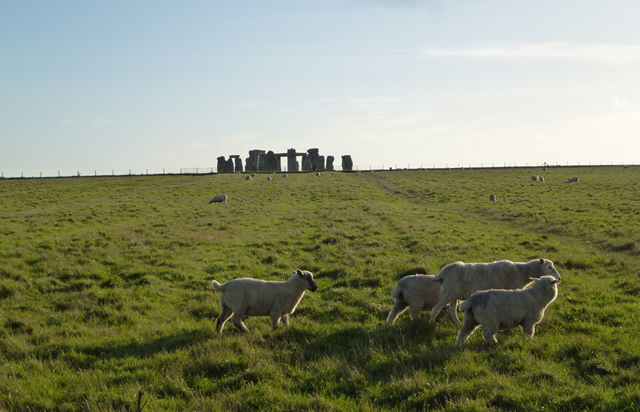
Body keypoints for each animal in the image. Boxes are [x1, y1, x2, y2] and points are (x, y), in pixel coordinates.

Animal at [430, 260, 560, 326]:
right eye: (549, 267)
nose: (558, 279)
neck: (522, 271)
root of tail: (442, 274)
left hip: (453, 294)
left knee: (452, 312)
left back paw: (459, 325)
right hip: (449, 293)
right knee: (435, 309)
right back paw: (430, 323)